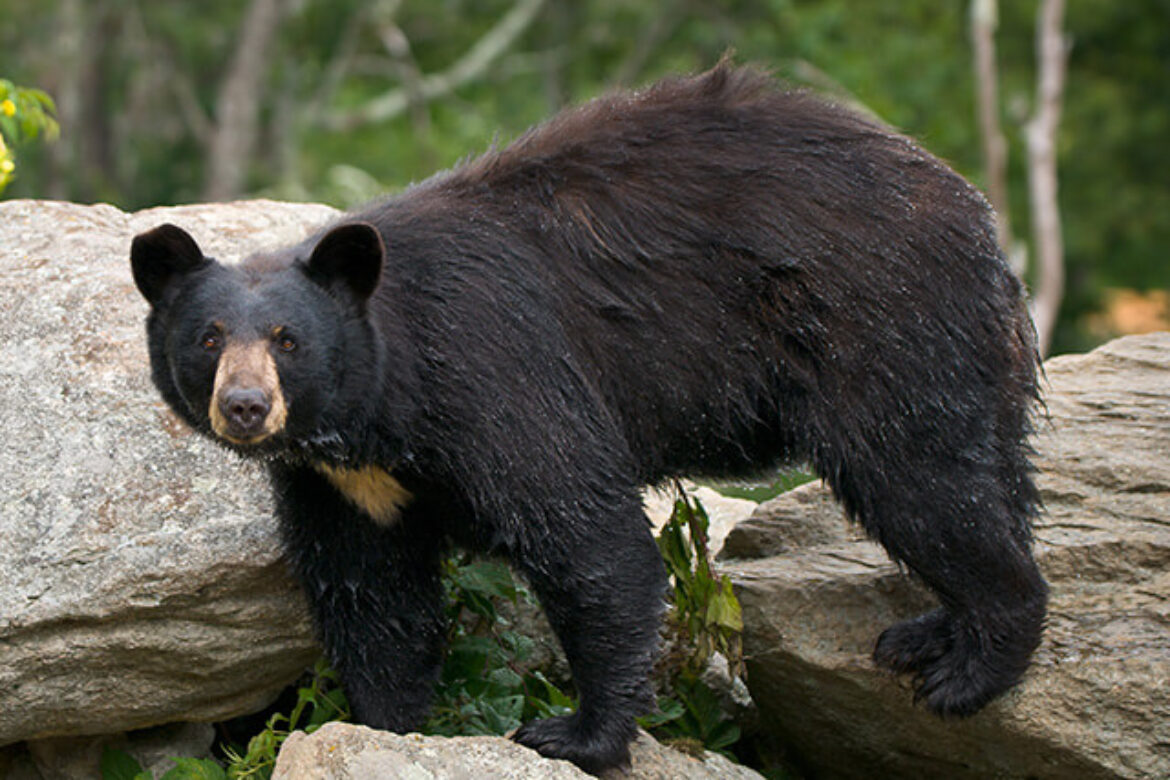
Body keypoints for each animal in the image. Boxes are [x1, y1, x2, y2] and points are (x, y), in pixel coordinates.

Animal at [130, 63, 1047, 774]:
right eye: (209, 337)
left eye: (287, 340)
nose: (246, 407)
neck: (381, 410)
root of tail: (977, 216)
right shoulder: (342, 484)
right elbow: (372, 596)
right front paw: (386, 723)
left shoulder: (495, 373)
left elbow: (585, 539)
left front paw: (576, 734)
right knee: (984, 473)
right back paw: (930, 633)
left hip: (880, 324)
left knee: (921, 480)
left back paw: (970, 667)